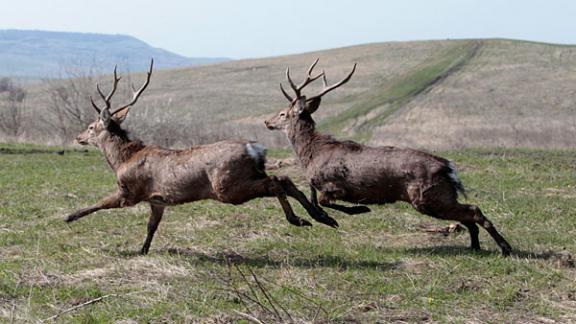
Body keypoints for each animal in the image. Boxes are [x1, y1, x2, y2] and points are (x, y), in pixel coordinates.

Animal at [65, 59, 340, 254]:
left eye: (91, 126)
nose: (78, 137)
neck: (122, 159)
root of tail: (255, 148)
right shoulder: (157, 199)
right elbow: (152, 226)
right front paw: (142, 250)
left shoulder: (129, 192)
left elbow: (100, 203)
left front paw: (69, 216)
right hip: (243, 179)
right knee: (284, 179)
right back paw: (322, 217)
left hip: (227, 187)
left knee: (275, 182)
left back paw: (298, 219)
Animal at [266, 58, 512, 256]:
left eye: (283, 114)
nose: (267, 122)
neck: (311, 153)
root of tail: (448, 167)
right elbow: (315, 198)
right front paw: (328, 217)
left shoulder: (336, 185)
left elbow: (326, 200)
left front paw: (356, 211)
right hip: (439, 196)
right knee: (468, 215)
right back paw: (476, 246)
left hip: (426, 197)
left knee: (474, 211)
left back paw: (505, 248)